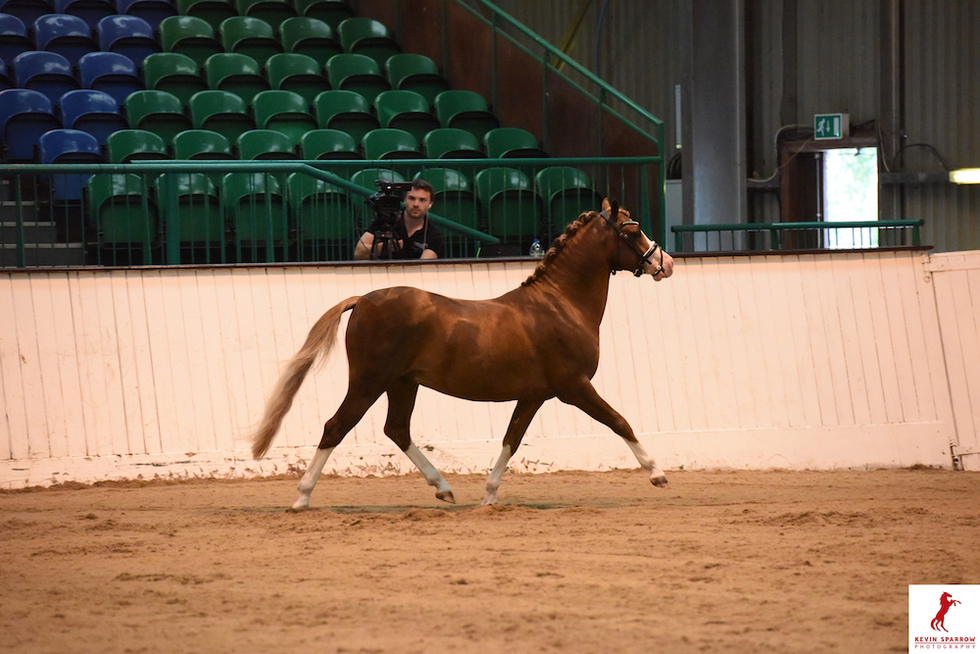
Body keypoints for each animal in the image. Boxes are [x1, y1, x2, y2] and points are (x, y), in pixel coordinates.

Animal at [251, 198, 675, 509]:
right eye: (632, 230)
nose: (665, 263)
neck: (559, 304)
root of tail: (365, 299)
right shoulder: (574, 387)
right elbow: (619, 422)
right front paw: (656, 473)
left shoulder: (534, 395)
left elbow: (511, 440)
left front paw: (489, 495)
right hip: (369, 382)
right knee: (336, 427)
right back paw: (302, 497)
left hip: (402, 384)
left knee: (397, 429)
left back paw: (443, 487)